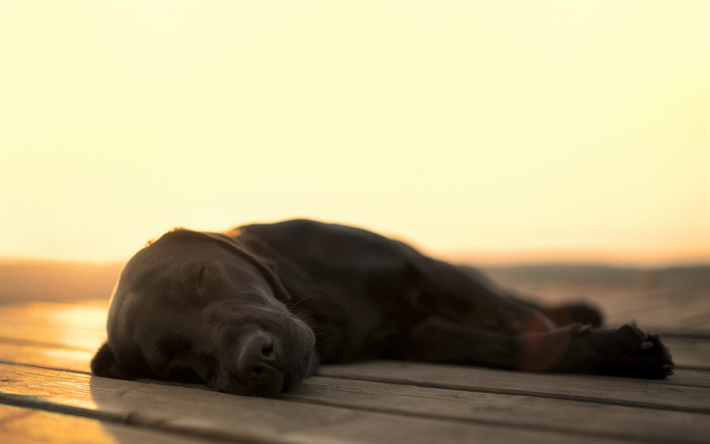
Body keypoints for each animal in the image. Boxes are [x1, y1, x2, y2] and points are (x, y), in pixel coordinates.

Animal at [92, 220, 676, 398]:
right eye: (177, 362)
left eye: (203, 276)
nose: (255, 359)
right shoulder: (419, 334)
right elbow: (501, 346)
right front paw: (618, 353)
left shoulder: (419, 269)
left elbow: (510, 322)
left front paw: (609, 346)